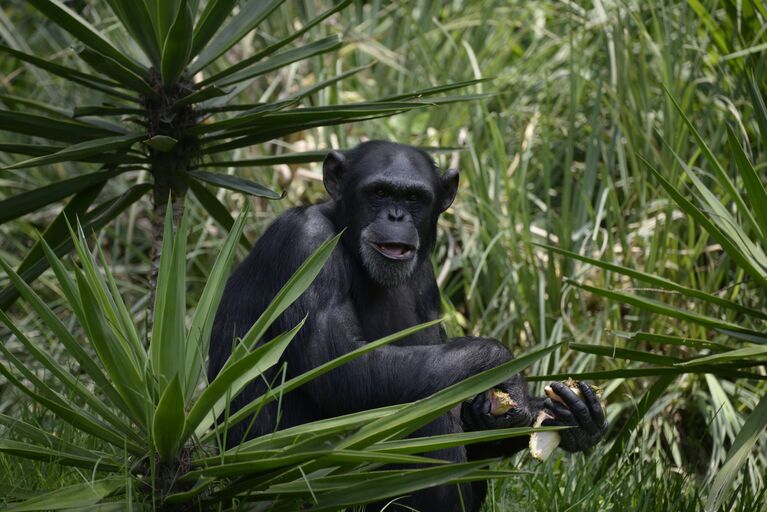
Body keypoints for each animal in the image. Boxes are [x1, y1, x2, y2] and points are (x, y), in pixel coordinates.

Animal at [208, 140, 608, 512]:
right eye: (379, 192)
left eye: (414, 197)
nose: (397, 216)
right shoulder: (306, 245)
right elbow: (338, 367)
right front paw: (503, 366)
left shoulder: (427, 279)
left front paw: (570, 416)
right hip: (296, 488)